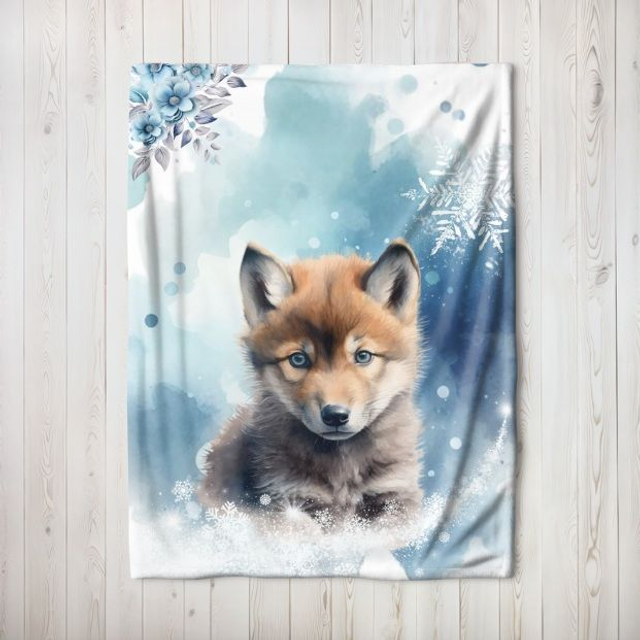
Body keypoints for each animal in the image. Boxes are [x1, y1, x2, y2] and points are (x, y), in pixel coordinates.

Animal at [199, 239, 425, 524]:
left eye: (362, 356)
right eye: (298, 359)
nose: (335, 415)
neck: (342, 468)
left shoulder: (394, 496)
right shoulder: (289, 500)